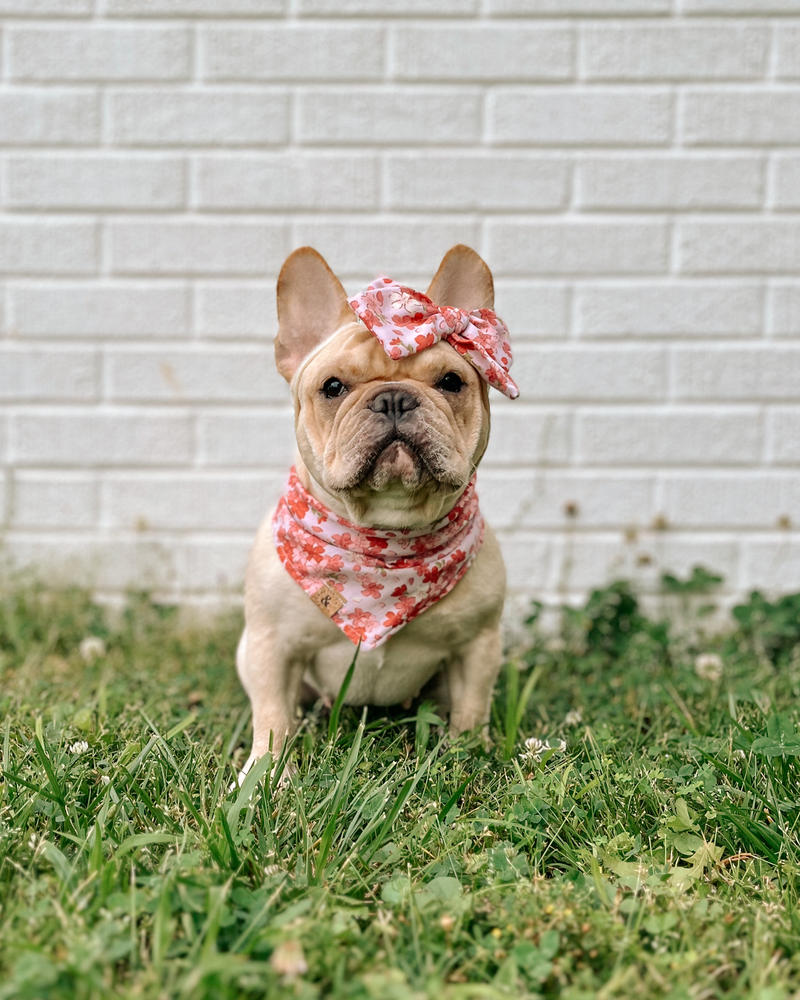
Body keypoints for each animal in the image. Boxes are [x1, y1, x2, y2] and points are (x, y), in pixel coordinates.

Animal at [238, 246, 512, 776]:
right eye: (332, 387)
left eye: (451, 381)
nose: (394, 397)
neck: (387, 535)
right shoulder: (269, 647)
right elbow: (273, 716)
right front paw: (265, 776)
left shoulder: (478, 644)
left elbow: (471, 710)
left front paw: (467, 760)